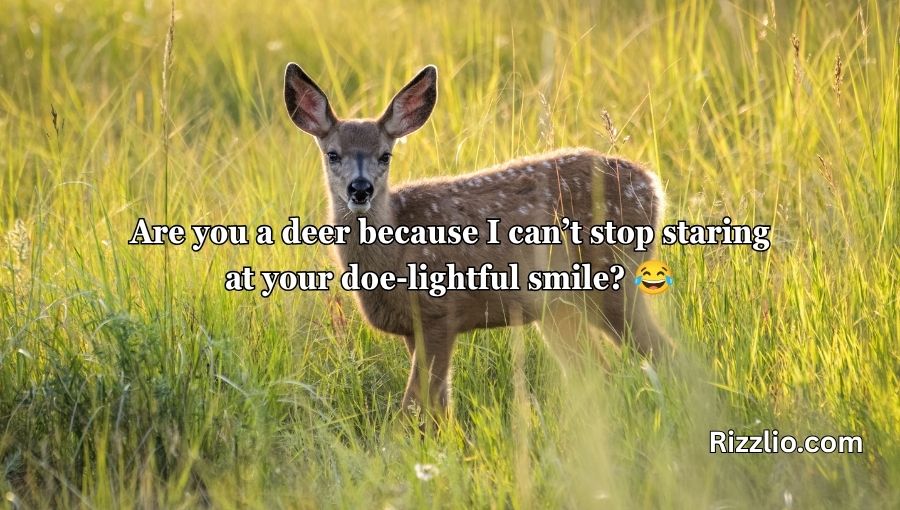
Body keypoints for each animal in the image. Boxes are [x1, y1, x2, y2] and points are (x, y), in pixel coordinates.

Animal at [283, 62, 671, 418]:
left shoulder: (439, 313)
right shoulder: (412, 328)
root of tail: (652, 185)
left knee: (662, 352)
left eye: (385, 155)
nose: (360, 189)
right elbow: (438, 407)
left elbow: (416, 405)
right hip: (560, 307)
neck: (395, 254)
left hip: (613, 278)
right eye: (333, 154)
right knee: (595, 370)